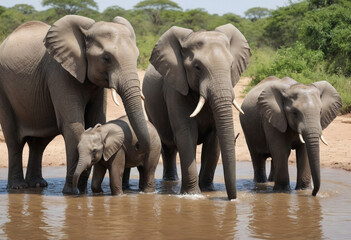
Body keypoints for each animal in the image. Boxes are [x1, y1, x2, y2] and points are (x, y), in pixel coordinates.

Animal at [0, 15, 150, 194]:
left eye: (137, 57)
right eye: (106, 58)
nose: (136, 145)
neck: (88, 30)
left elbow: (95, 121)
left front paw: (82, 191)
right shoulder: (59, 72)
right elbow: (74, 125)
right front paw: (72, 192)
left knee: (39, 143)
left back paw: (37, 185)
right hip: (4, 92)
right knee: (14, 140)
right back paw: (18, 187)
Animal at [142, 24, 252, 201]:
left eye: (230, 67)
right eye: (197, 68)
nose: (232, 199)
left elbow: (214, 139)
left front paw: (208, 190)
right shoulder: (174, 88)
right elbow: (187, 134)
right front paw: (192, 195)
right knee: (167, 146)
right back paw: (170, 182)